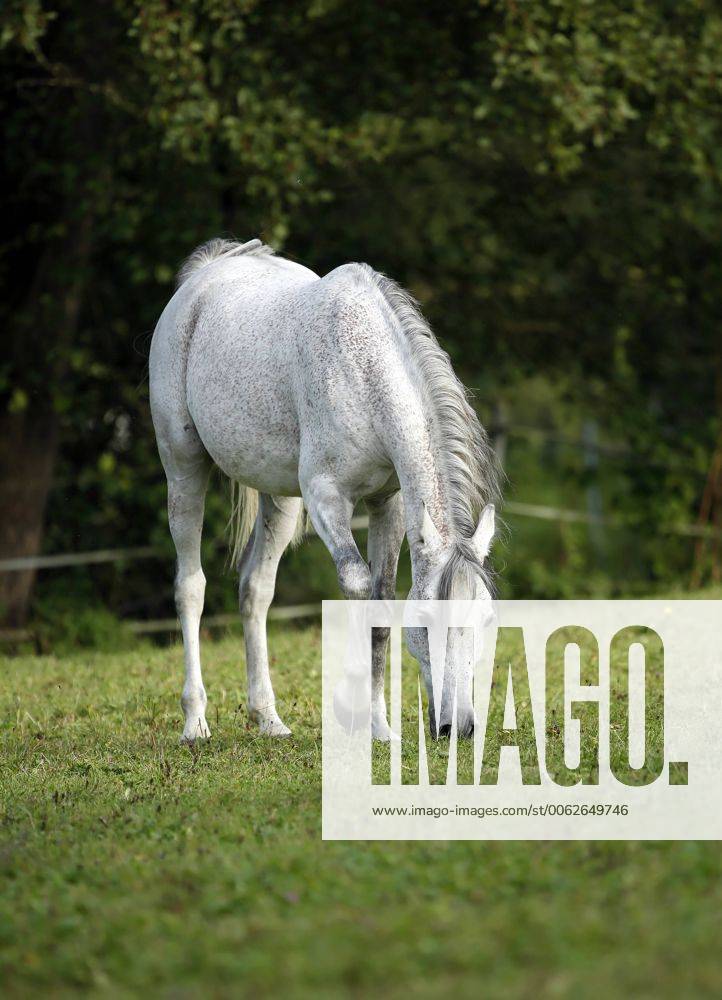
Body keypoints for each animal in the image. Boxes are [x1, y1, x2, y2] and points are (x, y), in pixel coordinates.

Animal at [149, 238, 499, 743]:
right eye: (427, 621)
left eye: (488, 618)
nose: (462, 727)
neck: (363, 372)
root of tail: (207, 272)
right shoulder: (326, 499)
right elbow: (357, 587)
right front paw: (353, 710)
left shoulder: (388, 504)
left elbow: (380, 603)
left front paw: (379, 727)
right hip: (183, 469)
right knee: (190, 587)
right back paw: (195, 722)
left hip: (279, 499)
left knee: (255, 589)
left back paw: (268, 718)